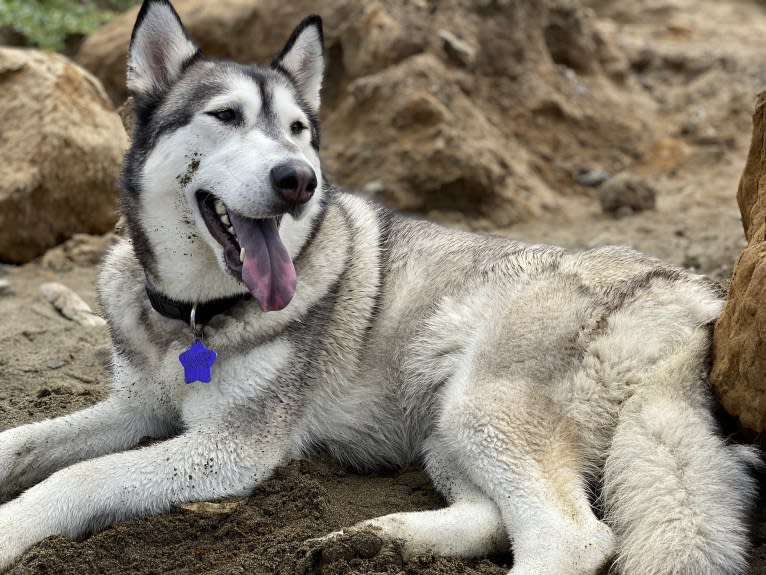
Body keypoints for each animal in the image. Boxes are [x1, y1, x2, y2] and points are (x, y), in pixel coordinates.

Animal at [0, 2, 760, 572]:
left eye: (298, 130)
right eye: (226, 116)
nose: (298, 179)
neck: (191, 317)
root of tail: (689, 292)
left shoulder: (232, 448)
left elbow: (80, 475)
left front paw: (11, 529)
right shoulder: (136, 406)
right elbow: (23, 441)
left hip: (483, 409)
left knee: (573, 537)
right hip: (446, 423)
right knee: (491, 517)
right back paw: (378, 538)